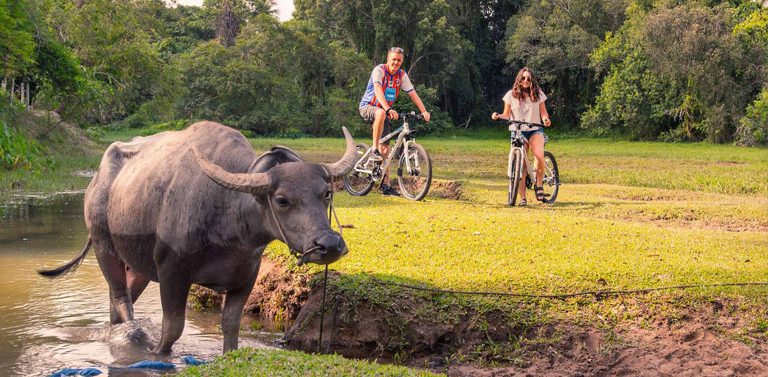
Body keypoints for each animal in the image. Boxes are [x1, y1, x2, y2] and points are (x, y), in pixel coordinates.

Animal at [39, 120, 356, 352]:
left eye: (326, 193)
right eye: (282, 200)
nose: (328, 244)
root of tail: (96, 182)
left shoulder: (247, 276)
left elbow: (230, 325)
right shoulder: (173, 273)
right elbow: (172, 329)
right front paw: (157, 353)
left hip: (139, 265)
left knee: (118, 300)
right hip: (104, 248)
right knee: (120, 298)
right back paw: (133, 336)